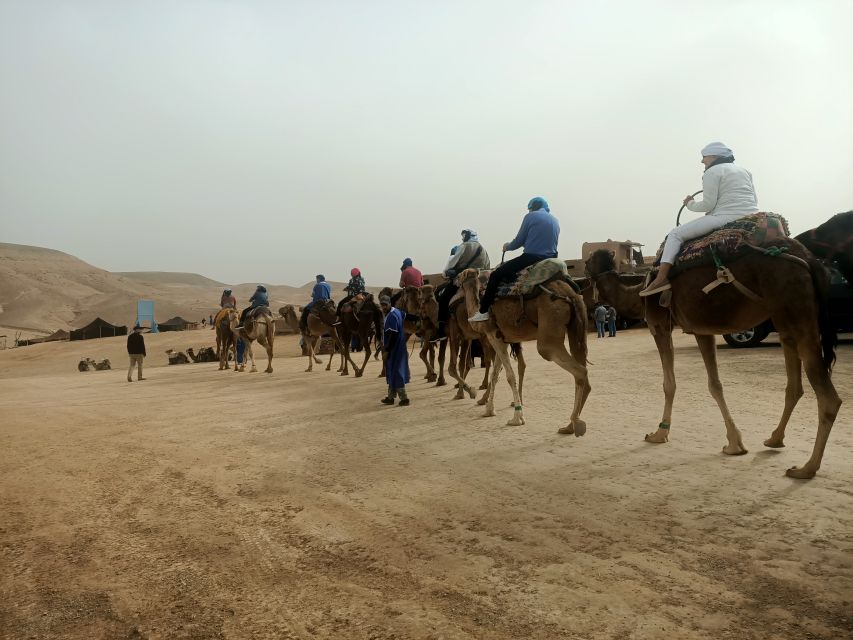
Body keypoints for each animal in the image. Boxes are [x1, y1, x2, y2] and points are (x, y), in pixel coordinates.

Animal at [456, 268, 588, 432]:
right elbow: (495, 375)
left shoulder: (493, 335)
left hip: (549, 332)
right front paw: (489, 410)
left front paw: (517, 418)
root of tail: (570, 293)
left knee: (579, 371)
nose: (455, 280)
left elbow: (509, 376)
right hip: (575, 327)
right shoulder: (503, 340)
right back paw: (570, 426)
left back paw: (574, 423)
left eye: (460, 277)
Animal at [584, 242, 840, 478]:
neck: (638, 291)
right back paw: (774, 439)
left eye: (587, 262)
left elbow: (669, 384)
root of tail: (810, 260)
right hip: (785, 320)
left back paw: (806, 468)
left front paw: (659, 433)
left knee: (828, 397)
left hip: (796, 311)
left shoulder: (659, 325)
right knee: (794, 386)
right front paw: (735, 443)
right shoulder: (702, 330)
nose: (582, 284)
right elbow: (715, 384)